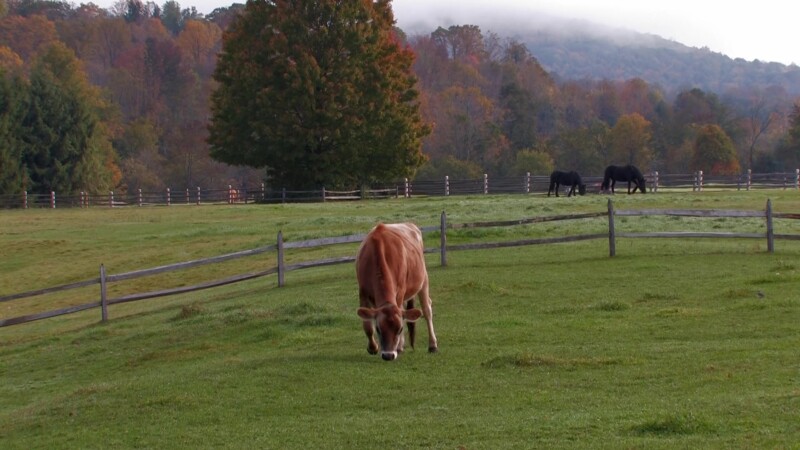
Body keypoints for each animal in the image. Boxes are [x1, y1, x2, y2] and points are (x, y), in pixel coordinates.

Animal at [356, 223, 439, 361]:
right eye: (378, 329)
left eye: (399, 329)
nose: (388, 355)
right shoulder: (363, 292)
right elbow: (367, 325)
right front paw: (373, 347)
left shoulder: (400, 292)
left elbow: (402, 316)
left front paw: (398, 346)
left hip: (423, 279)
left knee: (427, 310)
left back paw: (432, 345)